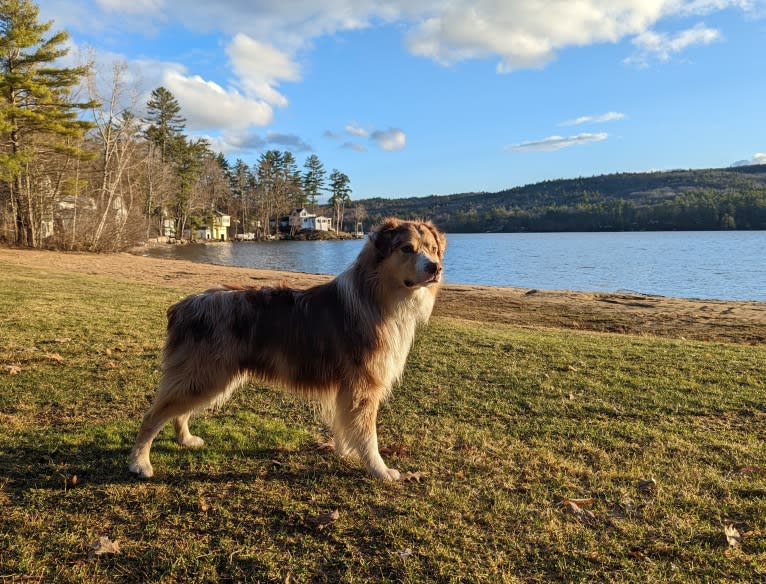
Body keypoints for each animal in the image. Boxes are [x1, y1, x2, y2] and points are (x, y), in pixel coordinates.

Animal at [129, 217, 448, 482]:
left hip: (206, 377)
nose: (436, 268)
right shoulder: (363, 385)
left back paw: (185, 440)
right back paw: (140, 463)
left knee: (178, 412)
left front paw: (346, 451)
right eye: (407, 249)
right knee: (153, 415)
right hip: (205, 374)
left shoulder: (347, 389)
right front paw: (380, 470)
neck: (377, 296)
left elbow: (346, 424)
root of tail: (183, 305)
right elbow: (368, 434)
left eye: (433, 249)